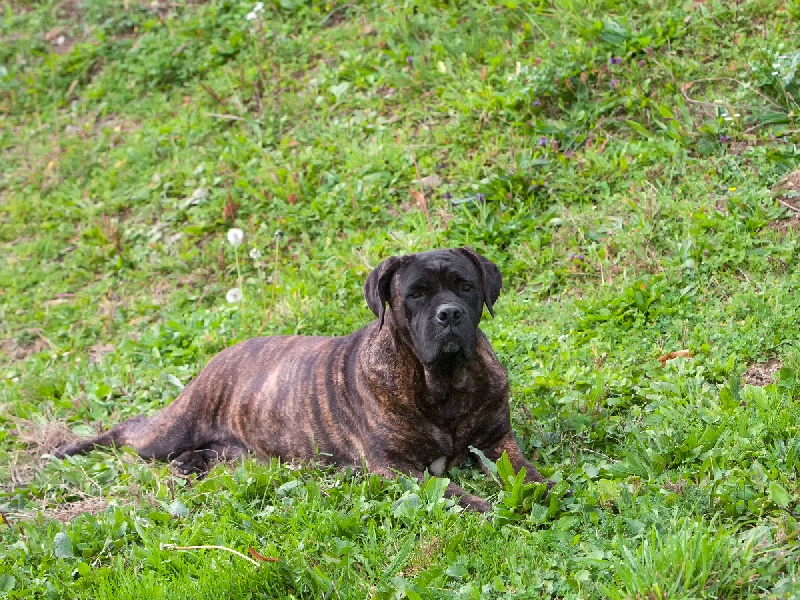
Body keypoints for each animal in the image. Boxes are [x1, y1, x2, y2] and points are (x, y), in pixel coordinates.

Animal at [59, 247, 552, 510]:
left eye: (465, 285)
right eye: (415, 294)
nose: (448, 314)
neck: (444, 382)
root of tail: (220, 355)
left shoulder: (496, 440)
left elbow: (523, 470)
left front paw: (540, 488)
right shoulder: (394, 467)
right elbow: (446, 488)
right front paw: (481, 505)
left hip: (249, 454)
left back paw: (190, 464)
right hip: (168, 431)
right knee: (129, 430)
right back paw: (66, 450)